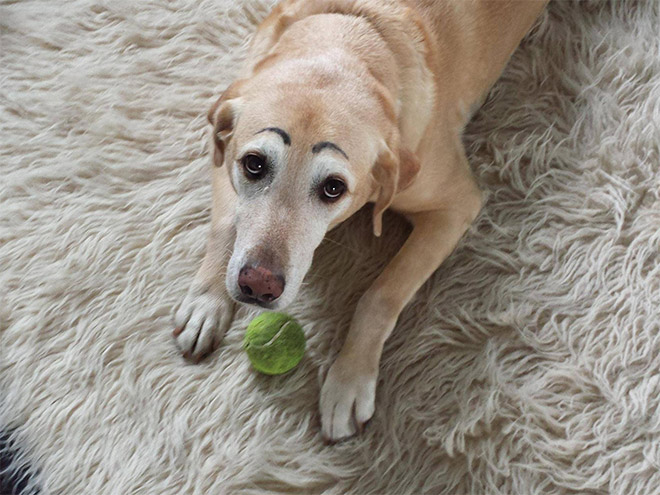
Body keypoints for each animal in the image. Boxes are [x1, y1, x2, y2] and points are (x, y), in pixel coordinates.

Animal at [173, 0, 548, 442]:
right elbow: (225, 224)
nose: (258, 286)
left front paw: (349, 379)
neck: (357, 29)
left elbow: (380, 295)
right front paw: (207, 301)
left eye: (334, 188)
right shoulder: (222, 150)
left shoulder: (455, 205)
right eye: (253, 164)